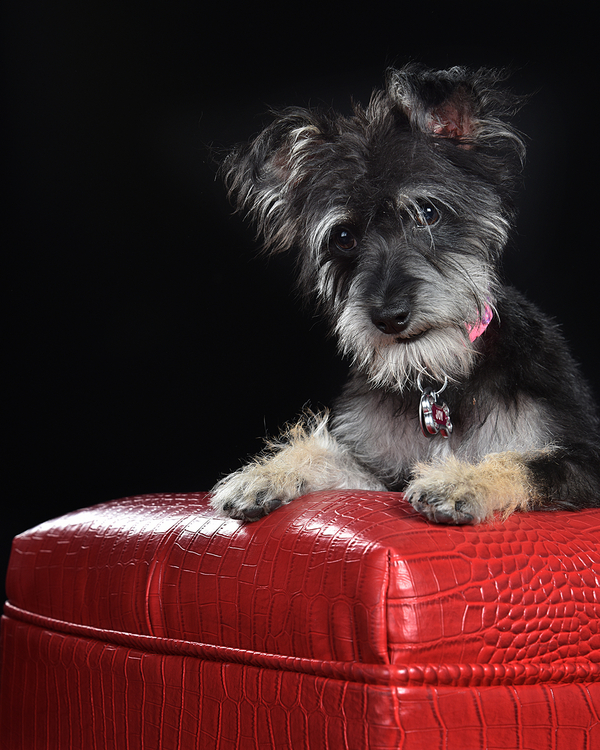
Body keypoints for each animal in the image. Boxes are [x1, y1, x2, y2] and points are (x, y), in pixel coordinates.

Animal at [210, 67, 600, 528]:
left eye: (427, 213)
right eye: (344, 237)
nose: (389, 316)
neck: (439, 382)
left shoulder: (582, 462)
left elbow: (525, 463)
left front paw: (460, 480)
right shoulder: (379, 474)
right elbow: (332, 458)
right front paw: (268, 473)